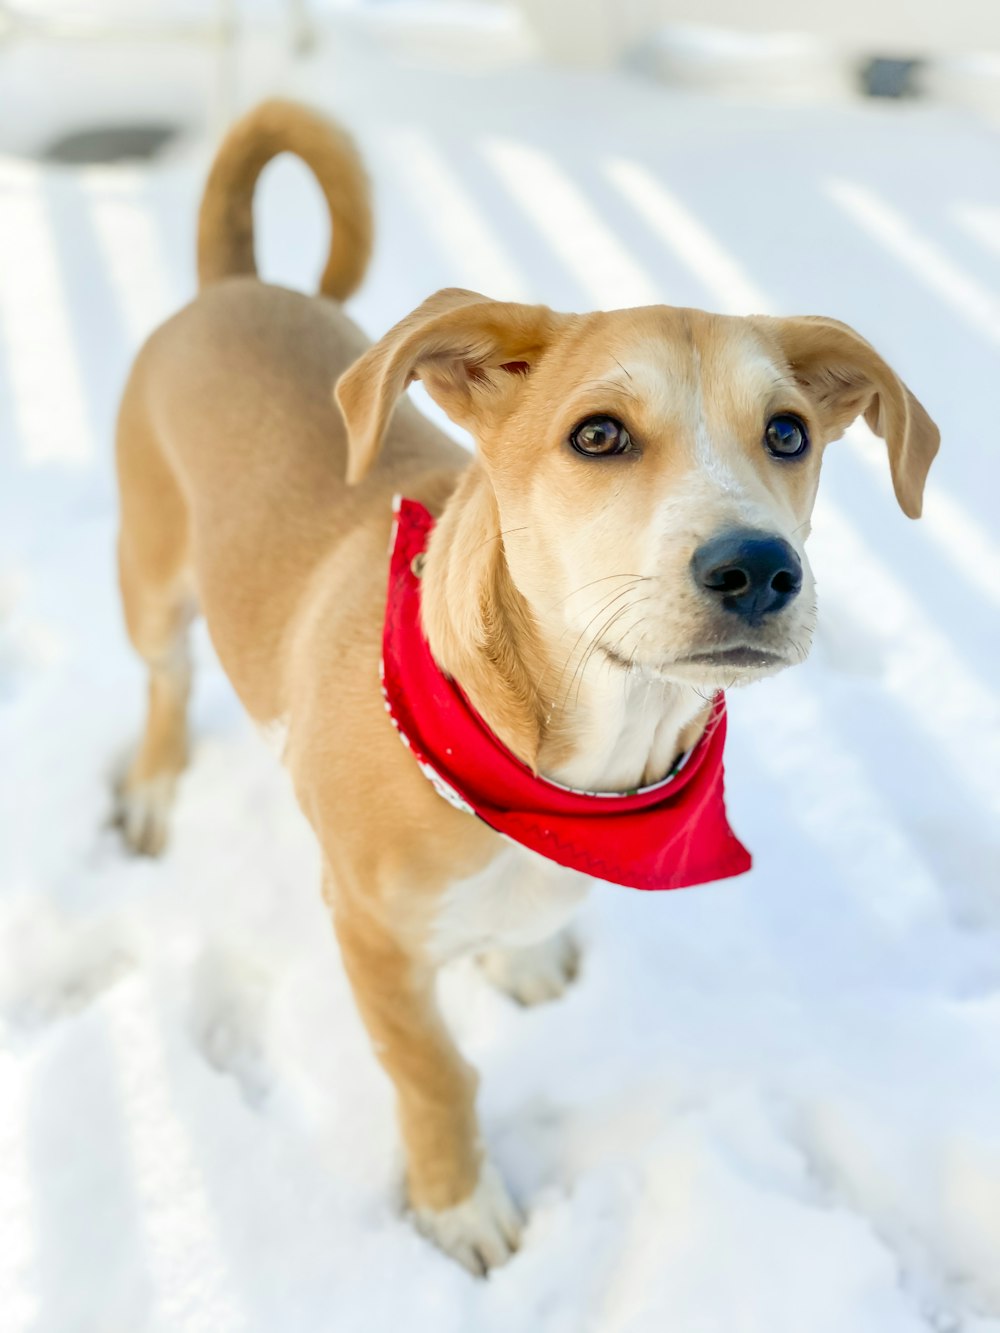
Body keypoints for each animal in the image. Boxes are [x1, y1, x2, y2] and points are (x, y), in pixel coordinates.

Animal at [113, 101, 944, 1269]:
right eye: (597, 434)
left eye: (788, 432)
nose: (758, 567)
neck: (559, 778)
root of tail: (234, 285)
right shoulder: (370, 933)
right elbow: (434, 1073)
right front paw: (458, 1203)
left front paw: (527, 957)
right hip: (149, 580)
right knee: (165, 680)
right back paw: (151, 786)